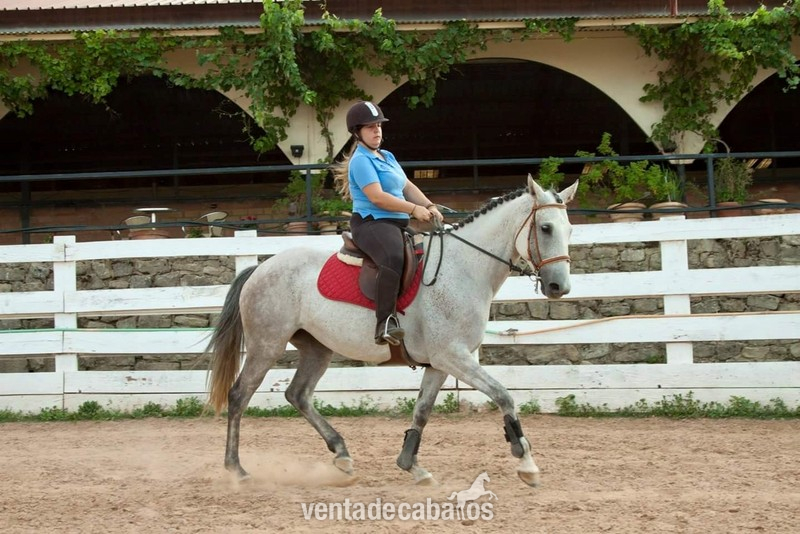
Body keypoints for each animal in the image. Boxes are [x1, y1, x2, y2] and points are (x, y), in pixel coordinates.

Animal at [207, 175, 578, 487]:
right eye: (545, 228)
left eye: (570, 230)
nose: (559, 287)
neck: (464, 268)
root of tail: (260, 268)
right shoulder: (454, 357)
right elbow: (504, 395)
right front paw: (526, 462)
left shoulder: (440, 364)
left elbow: (422, 411)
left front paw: (411, 465)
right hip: (266, 346)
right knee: (239, 396)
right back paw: (236, 469)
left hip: (317, 349)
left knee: (298, 394)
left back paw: (342, 455)